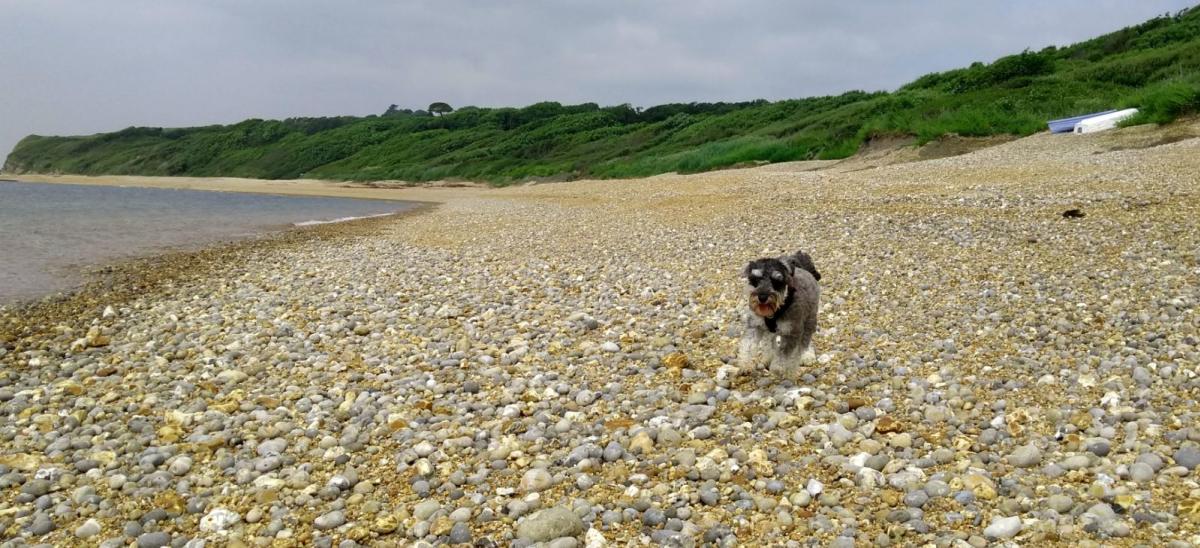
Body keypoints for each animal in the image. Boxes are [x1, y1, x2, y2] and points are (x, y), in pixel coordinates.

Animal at [734, 249, 820, 378]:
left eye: (777, 281)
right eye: (755, 280)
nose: (762, 297)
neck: (776, 311)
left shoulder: (791, 332)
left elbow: (784, 353)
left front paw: (777, 367)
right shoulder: (755, 326)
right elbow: (747, 345)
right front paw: (745, 364)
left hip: (809, 322)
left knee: (801, 347)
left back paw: (794, 368)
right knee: (769, 341)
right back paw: (768, 357)